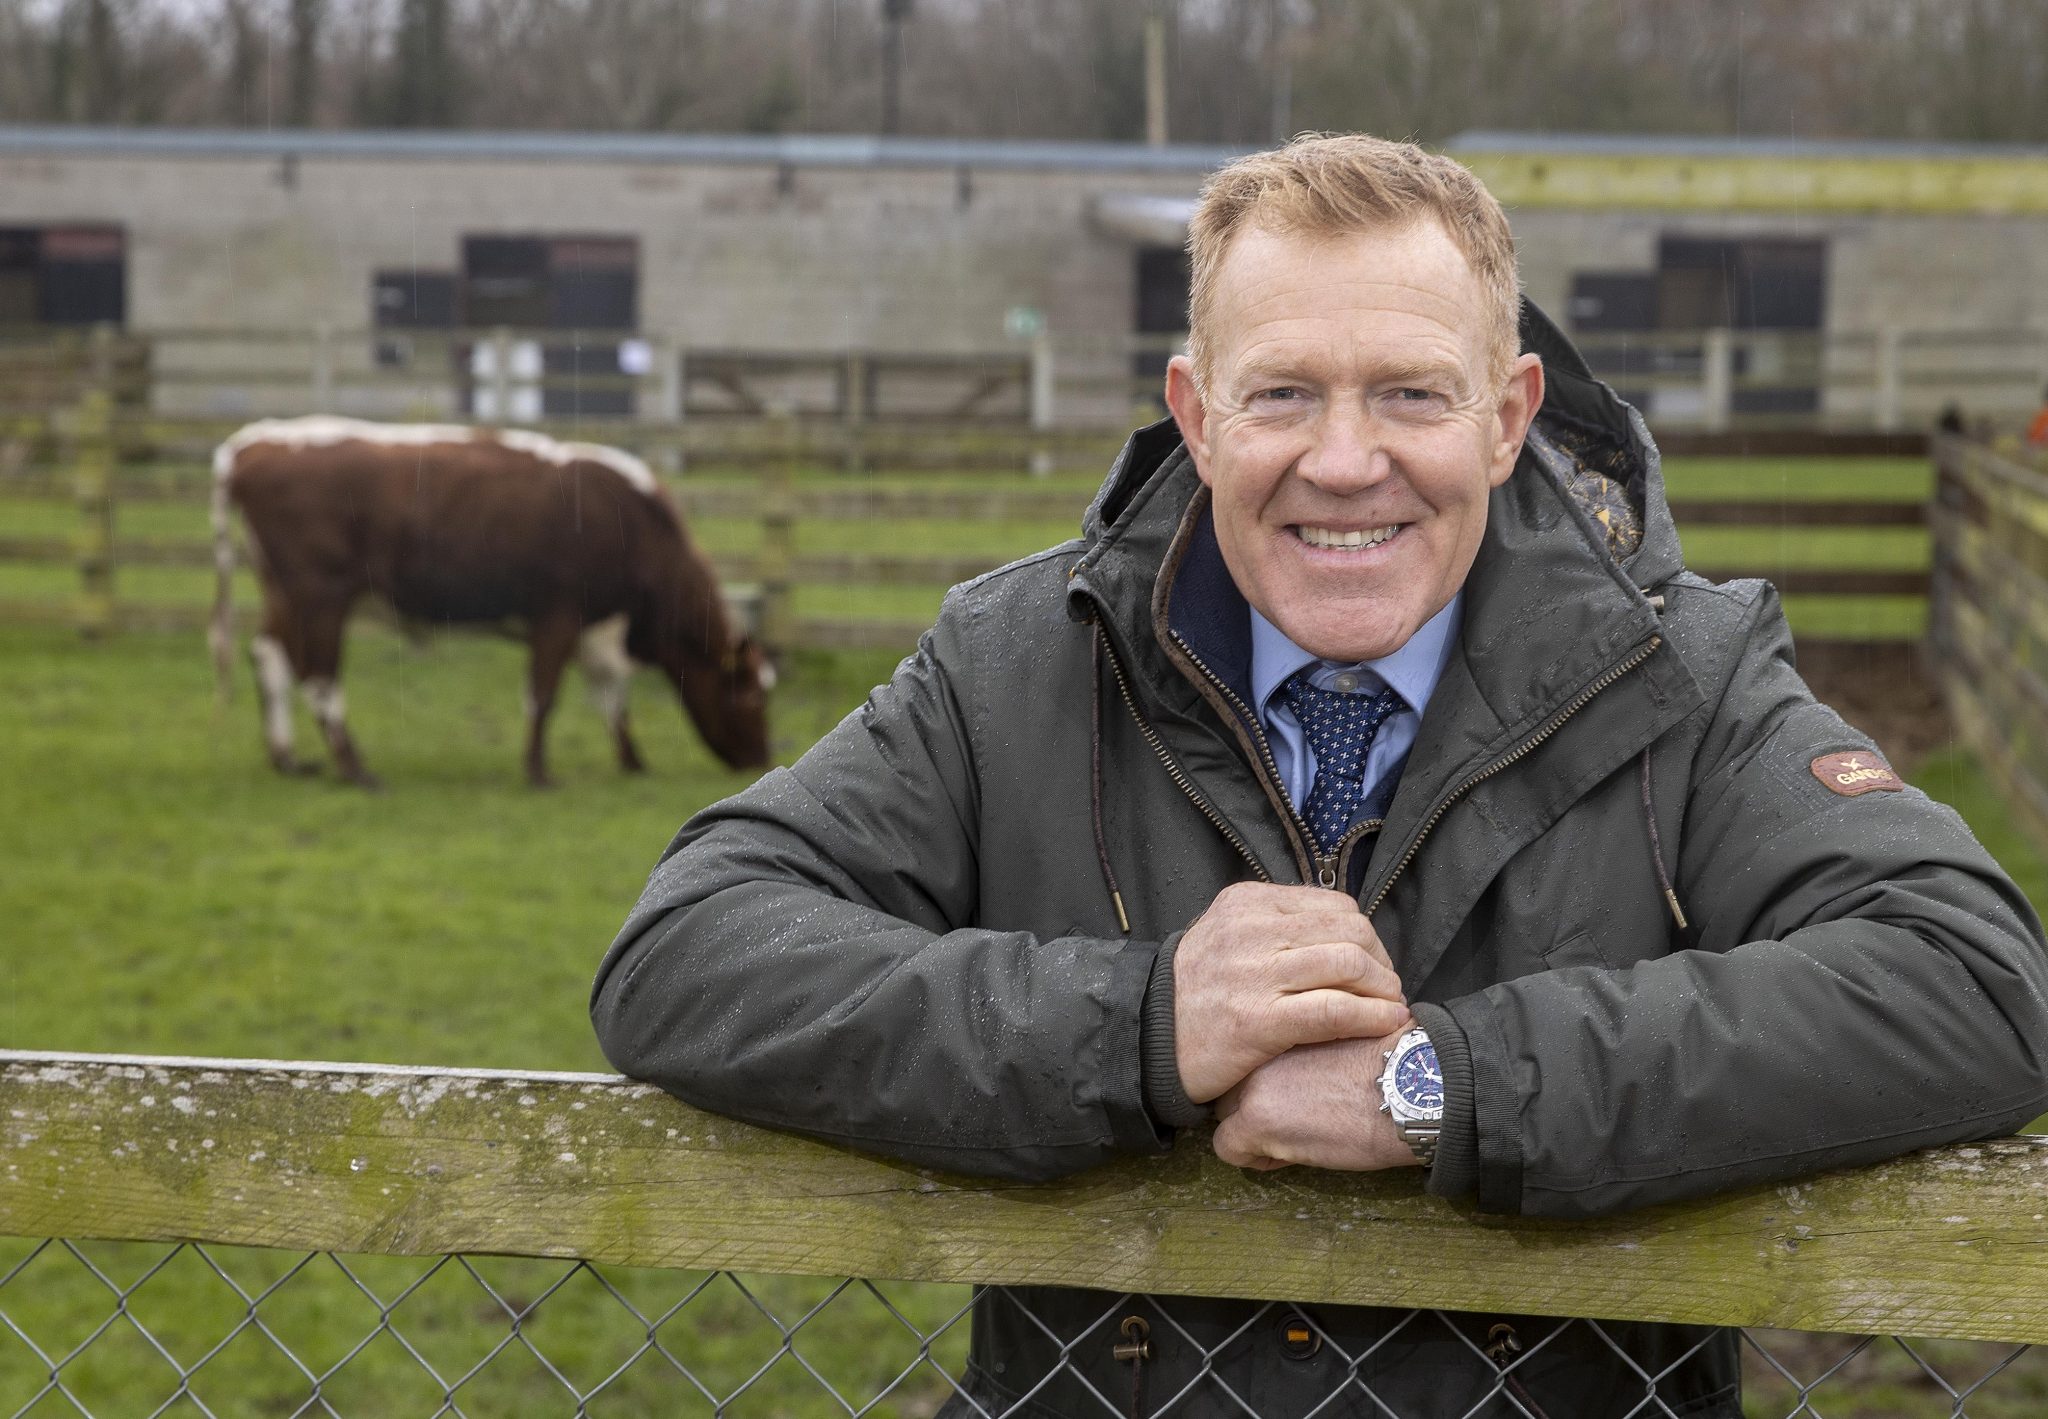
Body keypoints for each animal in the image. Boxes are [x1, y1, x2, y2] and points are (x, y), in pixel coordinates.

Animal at [209, 415, 770, 786]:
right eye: (747, 692)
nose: (762, 757)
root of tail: (255, 441)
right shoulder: (559, 612)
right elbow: (544, 693)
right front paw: (539, 772)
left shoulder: (598, 628)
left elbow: (611, 695)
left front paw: (632, 761)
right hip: (320, 596)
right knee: (321, 679)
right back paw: (353, 768)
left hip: (283, 594)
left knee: (270, 657)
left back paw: (286, 757)